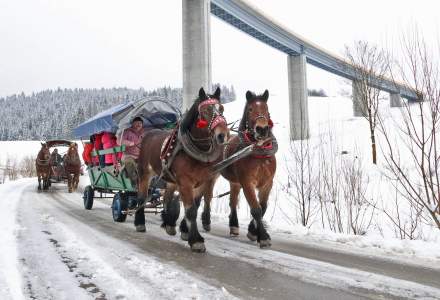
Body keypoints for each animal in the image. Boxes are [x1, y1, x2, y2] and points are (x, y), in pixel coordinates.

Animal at [138, 87, 229, 253]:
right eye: (205, 111)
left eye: (221, 109)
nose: (222, 135)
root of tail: (149, 133)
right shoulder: (186, 182)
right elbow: (191, 210)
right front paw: (196, 240)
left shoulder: (202, 181)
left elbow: (195, 205)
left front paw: (185, 231)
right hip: (145, 173)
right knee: (141, 197)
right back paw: (140, 223)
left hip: (171, 179)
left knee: (167, 198)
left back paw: (168, 223)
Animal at [202, 89, 276, 248]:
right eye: (250, 109)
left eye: (266, 108)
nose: (262, 129)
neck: (257, 152)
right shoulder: (247, 182)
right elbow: (256, 209)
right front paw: (263, 236)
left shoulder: (267, 183)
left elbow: (263, 207)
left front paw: (253, 231)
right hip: (212, 175)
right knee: (207, 196)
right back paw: (206, 220)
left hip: (235, 182)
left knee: (233, 201)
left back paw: (234, 225)